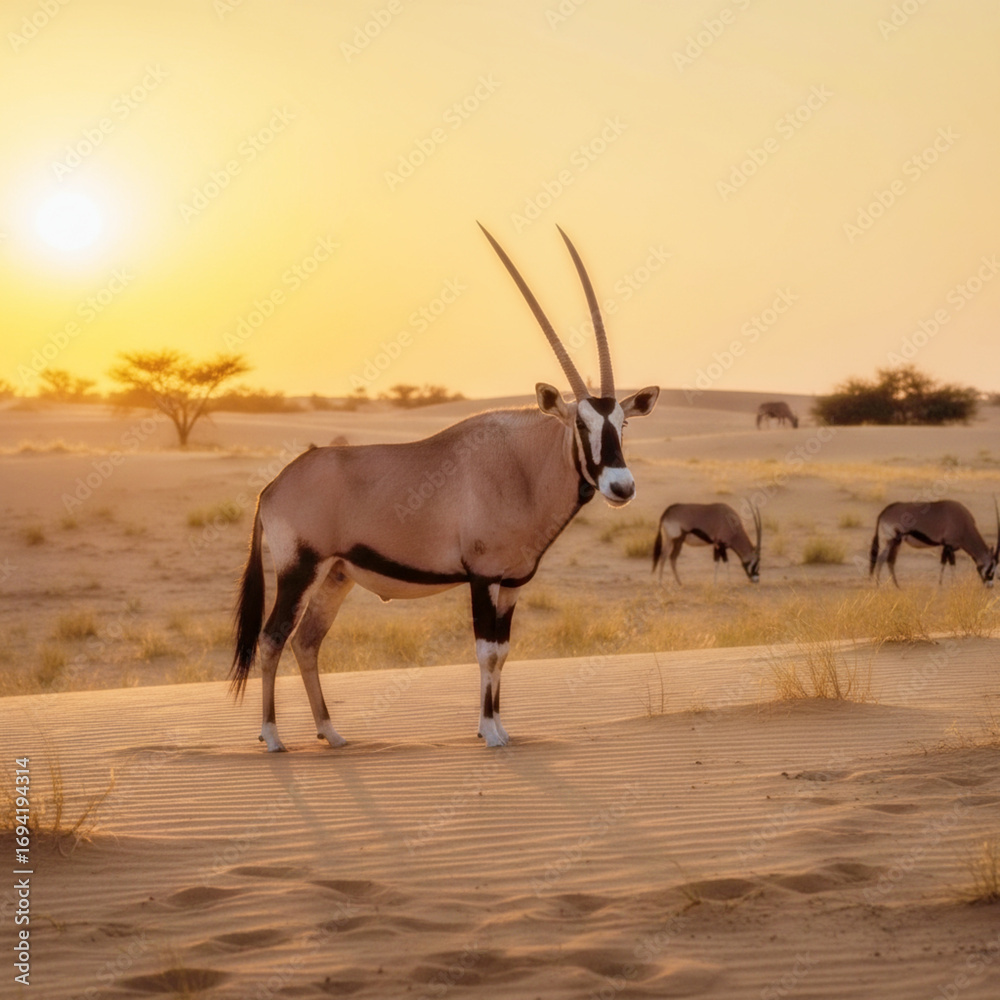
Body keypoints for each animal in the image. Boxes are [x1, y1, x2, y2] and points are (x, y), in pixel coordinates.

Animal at [230, 225, 660, 751]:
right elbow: (485, 651)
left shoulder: (512, 582)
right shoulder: (481, 577)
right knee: (272, 638)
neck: (522, 466)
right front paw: (490, 733)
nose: (622, 486)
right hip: (300, 569)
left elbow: (504, 651)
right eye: (581, 423)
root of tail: (271, 488)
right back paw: (272, 737)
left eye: (623, 422)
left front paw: (497, 726)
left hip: (336, 575)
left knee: (306, 641)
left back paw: (330, 732)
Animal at [869, 500, 999, 587]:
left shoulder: (946, 547)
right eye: (991, 567)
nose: (990, 586)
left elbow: (944, 563)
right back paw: (878, 586)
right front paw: (951, 585)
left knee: (890, 561)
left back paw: (897, 587)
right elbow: (951, 565)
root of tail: (885, 511)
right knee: (881, 559)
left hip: (896, 542)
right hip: (890, 540)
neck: (964, 525)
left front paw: (942, 584)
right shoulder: (949, 546)